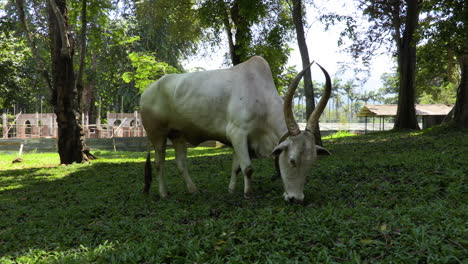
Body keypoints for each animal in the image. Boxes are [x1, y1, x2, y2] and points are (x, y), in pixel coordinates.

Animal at [141, 55, 330, 202]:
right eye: (292, 160)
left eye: (312, 163)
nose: (296, 199)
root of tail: (147, 91)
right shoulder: (238, 133)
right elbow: (247, 167)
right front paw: (248, 193)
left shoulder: (240, 140)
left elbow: (236, 167)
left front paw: (231, 189)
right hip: (157, 135)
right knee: (159, 163)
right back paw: (164, 193)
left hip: (178, 135)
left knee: (181, 163)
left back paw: (193, 189)